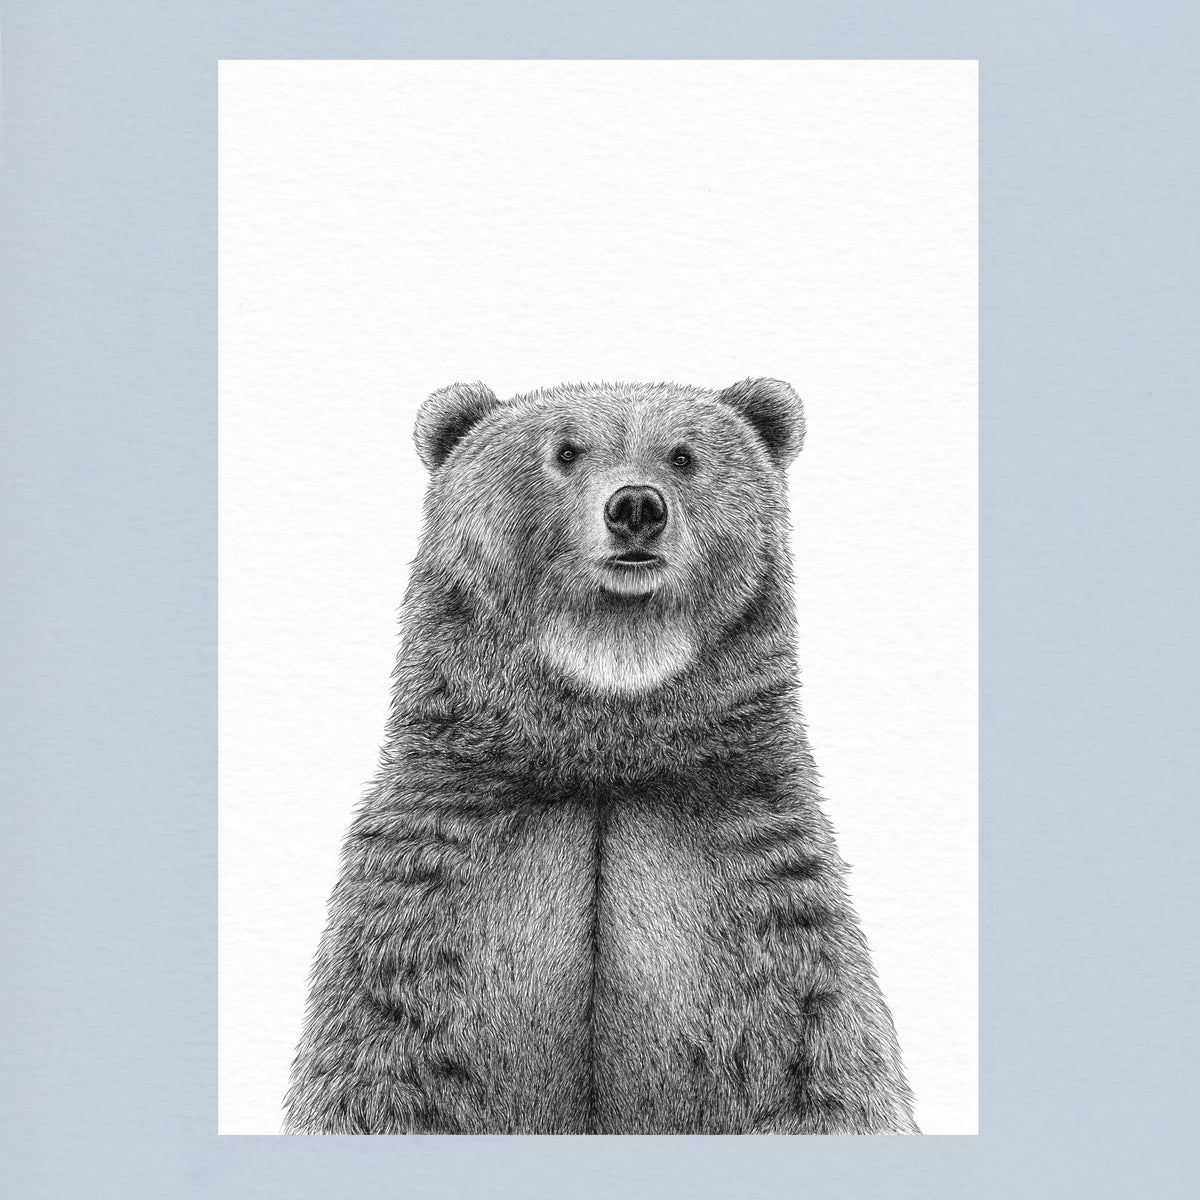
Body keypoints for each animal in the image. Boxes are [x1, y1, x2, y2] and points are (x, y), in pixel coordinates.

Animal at [283, 378, 919, 1135]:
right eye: (565, 450)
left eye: (683, 454)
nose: (636, 507)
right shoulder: (428, 896)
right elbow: (379, 1065)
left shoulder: (760, 901)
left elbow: (815, 1067)